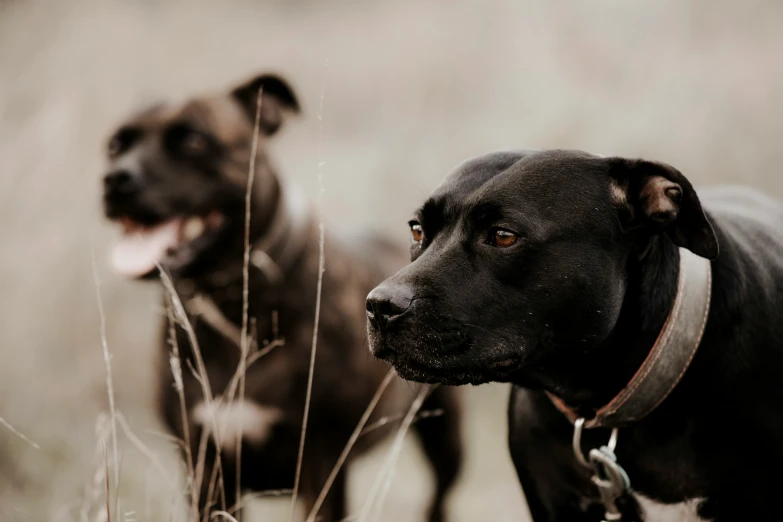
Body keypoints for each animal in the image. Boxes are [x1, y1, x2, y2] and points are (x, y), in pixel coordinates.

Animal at [101, 71, 462, 516]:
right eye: (115, 145)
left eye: (194, 141)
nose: (116, 179)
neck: (235, 305)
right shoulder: (207, 472)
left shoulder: (320, 468)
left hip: (445, 437)